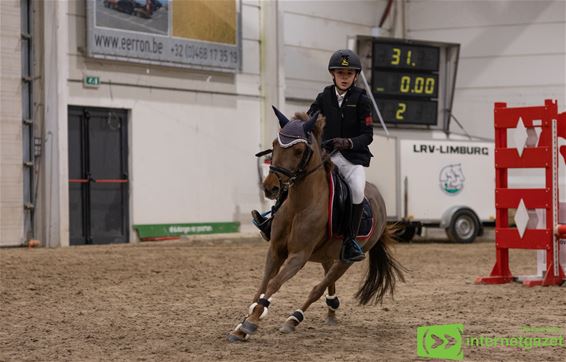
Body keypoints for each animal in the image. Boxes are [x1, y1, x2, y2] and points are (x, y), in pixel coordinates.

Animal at [229, 109, 406, 340]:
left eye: (298, 150)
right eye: (275, 144)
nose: (270, 188)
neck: (299, 205)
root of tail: (379, 198)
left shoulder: (298, 256)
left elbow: (275, 283)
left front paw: (251, 322)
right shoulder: (275, 250)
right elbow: (264, 282)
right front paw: (242, 324)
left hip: (346, 260)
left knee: (318, 288)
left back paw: (294, 319)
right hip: (326, 255)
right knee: (328, 281)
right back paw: (331, 310)